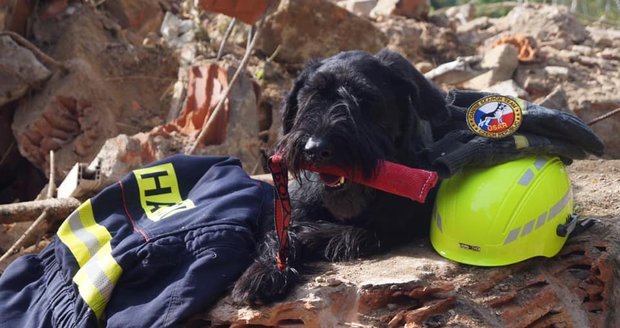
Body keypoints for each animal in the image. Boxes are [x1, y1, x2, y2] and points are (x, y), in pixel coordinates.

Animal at [232, 48, 450, 304]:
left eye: (365, 98)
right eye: (311, 95)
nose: (316, 149)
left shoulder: (400, 221)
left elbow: (355, 232)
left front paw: (308, 235)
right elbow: (278, 235)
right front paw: (264, 272)